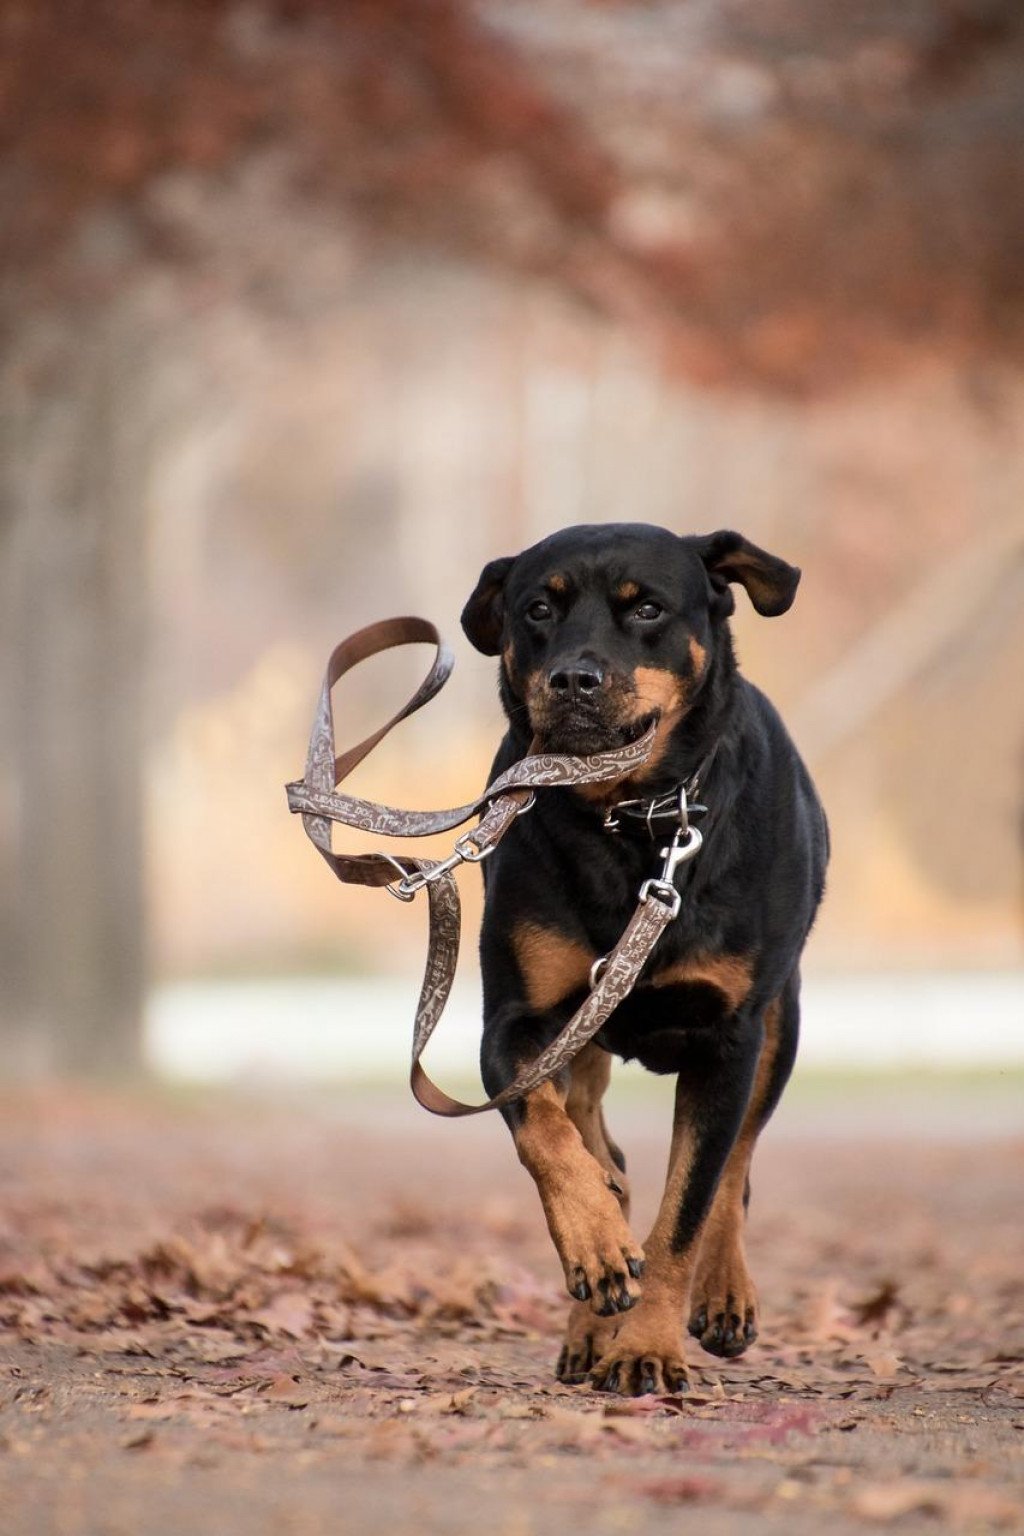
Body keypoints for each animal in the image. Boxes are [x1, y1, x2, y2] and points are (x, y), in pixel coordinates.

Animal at [460, 522, 829, 1400]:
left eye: (648, 609)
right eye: (538, 609)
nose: (573, 677)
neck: (633, 821)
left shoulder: (729, 1035)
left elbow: (687, 1209)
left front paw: (649, 1348)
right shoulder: (515, 1024)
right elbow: (547, 1137)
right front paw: (596, 1251)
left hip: (781, 1023)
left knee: (734, 1165)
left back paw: (722, 1296)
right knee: (607, 1152)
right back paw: (593, 1311)